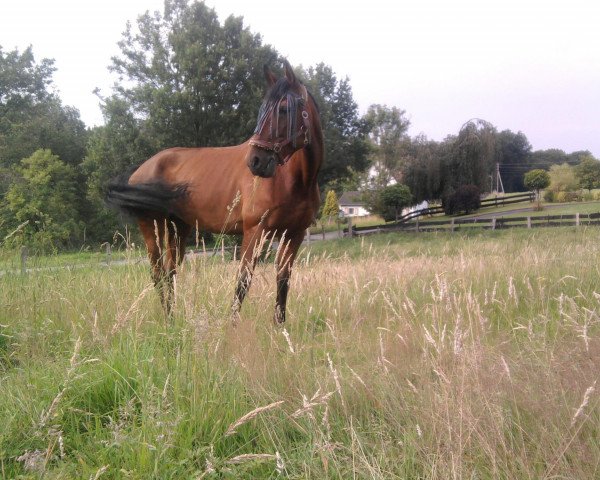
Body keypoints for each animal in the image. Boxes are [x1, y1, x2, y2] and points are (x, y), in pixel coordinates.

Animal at [106, 60, 324, 322]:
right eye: (263, 111)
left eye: (283, 109)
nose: (256, 161)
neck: (294, 181)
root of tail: (142, 169)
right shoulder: (255, 231)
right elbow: (242, 282)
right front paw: (231, 327)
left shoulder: (294, 234)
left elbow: (283, 281)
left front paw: (280, 328)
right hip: (152, 227)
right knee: (158, 274)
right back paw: (168, 321)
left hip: (178, 228)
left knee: (170, 272)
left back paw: (174, 319)